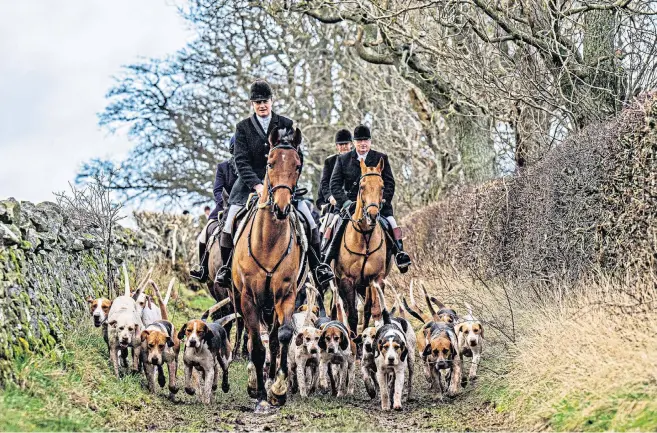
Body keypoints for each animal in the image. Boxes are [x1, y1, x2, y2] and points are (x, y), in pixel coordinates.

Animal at [232, 126, 304, 410]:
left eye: (297, 165)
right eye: (270, 163)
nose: (281, 208)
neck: (269, 241)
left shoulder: (286, 295)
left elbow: (282, 337)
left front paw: (278, 388)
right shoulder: (249, 298)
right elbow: (256, 344)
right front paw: (259, 391)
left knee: (273, 339)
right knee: (252, 338)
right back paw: (255, 379)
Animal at [334, 159, 390, 338]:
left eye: (382, 187)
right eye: (362, 186)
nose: (372, 215)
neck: (364, 235)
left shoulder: (376, 279)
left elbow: (376, 311)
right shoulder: (347, 280)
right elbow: (351, 315)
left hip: (364, 285)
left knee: (366, 309)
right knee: (342, 308)